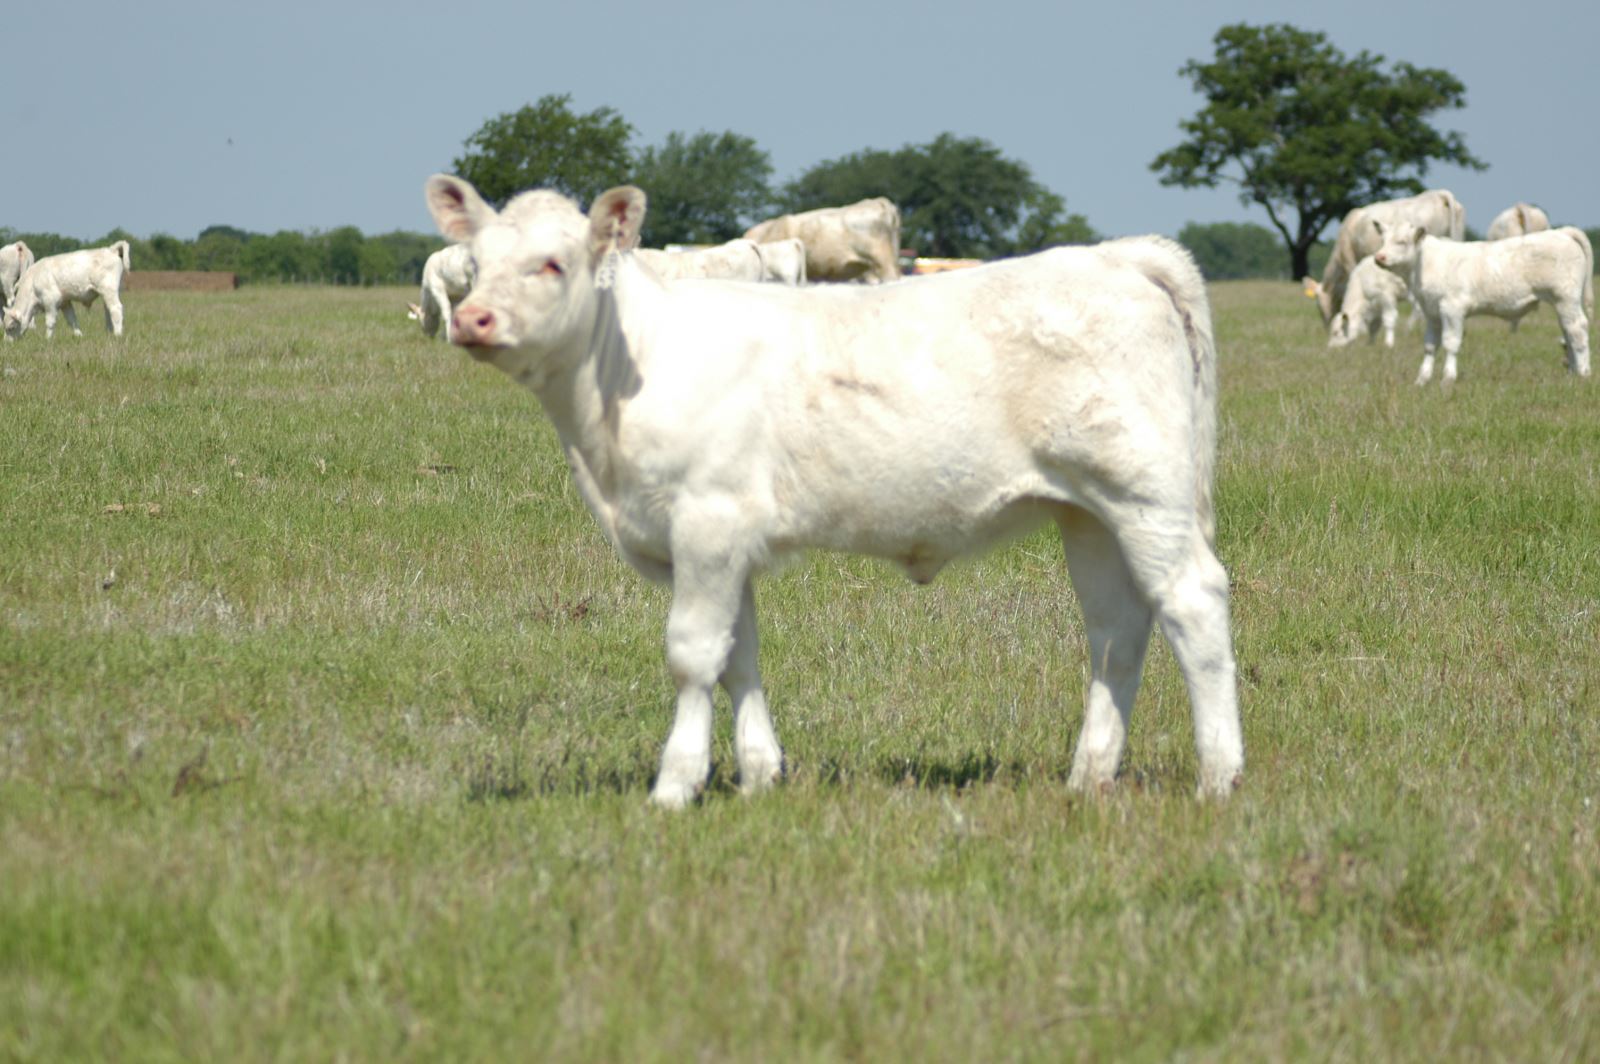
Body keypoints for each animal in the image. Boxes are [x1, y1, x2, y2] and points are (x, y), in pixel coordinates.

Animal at [1369, 222, 1593, 384]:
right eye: (1383, 240)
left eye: (1402, 241)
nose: (1379, 257)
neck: (1423, 265)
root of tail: (1561, 231)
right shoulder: (1431, 313)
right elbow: (1430, 346)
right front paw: (1422, 380)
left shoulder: (1452, 308)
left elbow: (1450, 343)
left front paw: (1447, 378)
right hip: (1561, 303)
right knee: (1567, 331)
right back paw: (1572, 372)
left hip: (1566, 298)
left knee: (1577, 329)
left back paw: (1583, 373)